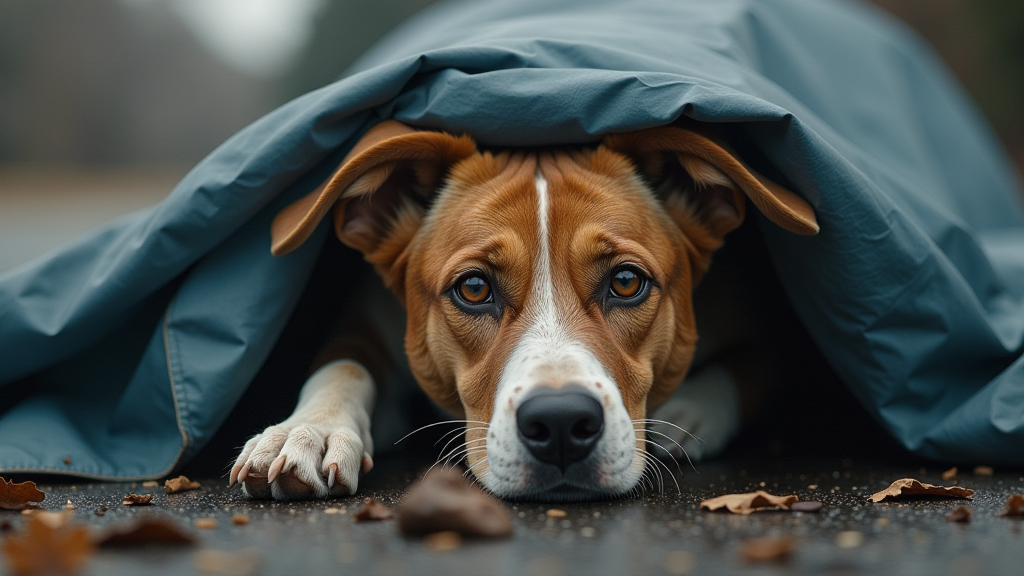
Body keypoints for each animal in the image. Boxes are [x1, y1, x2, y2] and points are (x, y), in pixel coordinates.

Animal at [226, 119, 815, 498]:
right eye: (474, 288)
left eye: (626, 282)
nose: (560, 422)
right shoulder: (368, 322)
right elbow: (344, 366)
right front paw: (308, 429)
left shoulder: (771, 327)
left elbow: (753, 364)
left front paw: (691, 411)